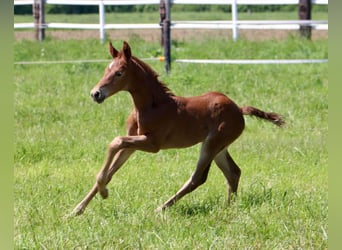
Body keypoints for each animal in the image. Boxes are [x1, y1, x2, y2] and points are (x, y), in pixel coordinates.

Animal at [70, 42, 284, 216]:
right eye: (106, 69)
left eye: (119, 73)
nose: (96, 94)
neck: (151, 106)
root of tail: (239, 109)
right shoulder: (132, 144)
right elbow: (110, 170)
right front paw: (76, 210)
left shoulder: (152, 144)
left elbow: (115, 141)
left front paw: (104, 192)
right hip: (219, 147)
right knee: (233, 172)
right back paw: (229, 207)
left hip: (212, 144)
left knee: (198, 178)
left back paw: (161, 208)